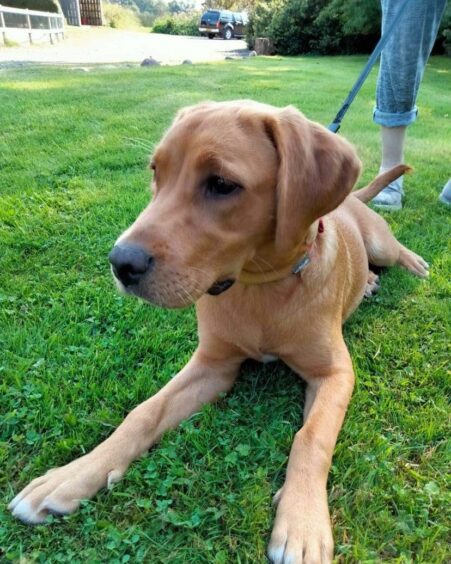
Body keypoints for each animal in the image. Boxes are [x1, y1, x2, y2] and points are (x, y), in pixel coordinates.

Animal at [8, 101, 430, 564]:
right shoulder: (212, 364)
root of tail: (350, 199)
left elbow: (311, 437)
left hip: (379, 243)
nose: (121, 263)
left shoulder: (335, 373)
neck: (259, 288)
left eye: (222, 184)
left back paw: (407, 265)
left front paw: (302, 523)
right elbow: (143, 413)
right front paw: (72, 475)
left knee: (394, 249)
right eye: (156, 172)